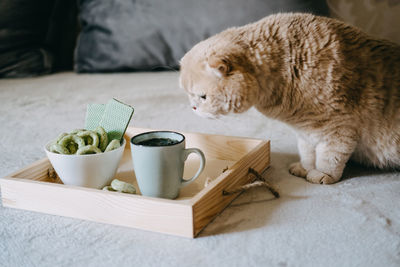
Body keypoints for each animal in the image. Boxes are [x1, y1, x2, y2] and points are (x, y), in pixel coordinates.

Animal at [180, 12, 400, 184]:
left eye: (203, 97)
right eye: (188, 95)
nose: (193, 108)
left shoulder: (338, 129)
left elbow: (329, 157)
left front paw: (322, 174)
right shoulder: (307, 132)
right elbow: (308, 154)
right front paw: (306, 168)